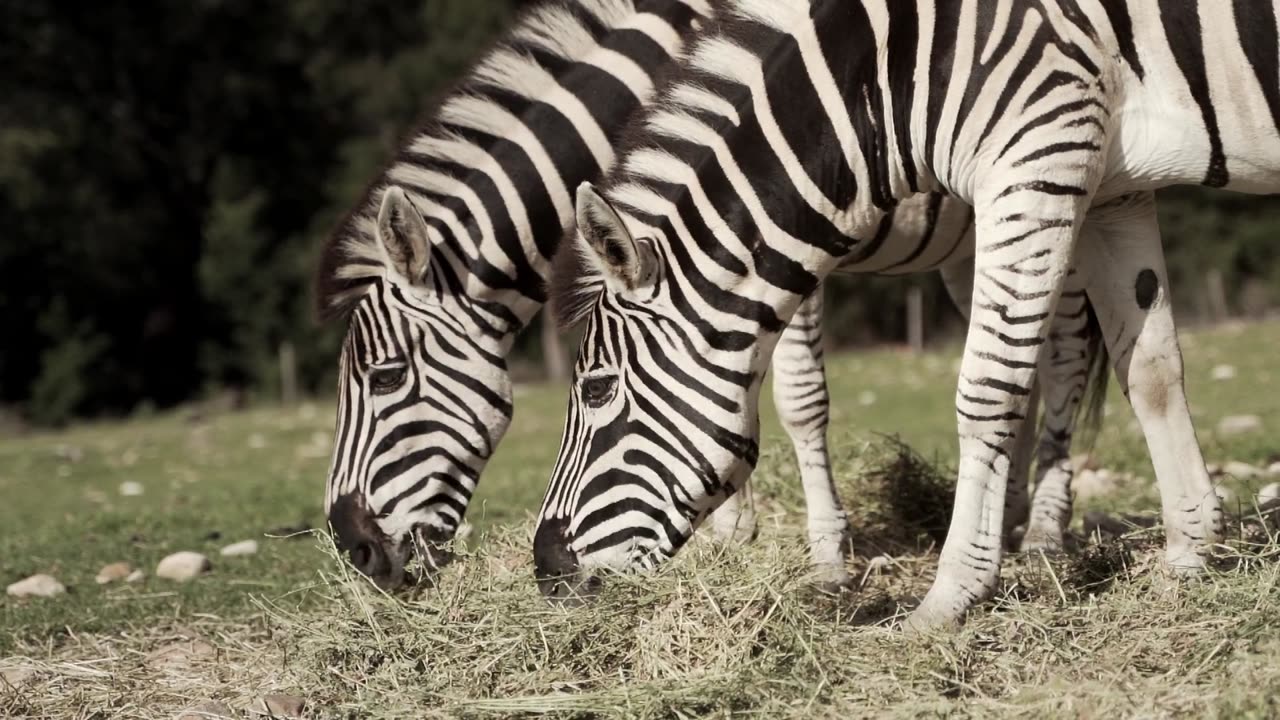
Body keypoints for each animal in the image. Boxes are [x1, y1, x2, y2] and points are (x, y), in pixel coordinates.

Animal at [532, 0, 1259, 627]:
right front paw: (1189, 558)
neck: (888, 76)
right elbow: (1151, 368)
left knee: (1060, 357)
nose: (545, 571)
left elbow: (971, 390)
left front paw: (941, 595)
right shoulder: (1111, 186)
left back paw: (1037, 536)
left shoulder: (1041, 152)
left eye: (597, 390)